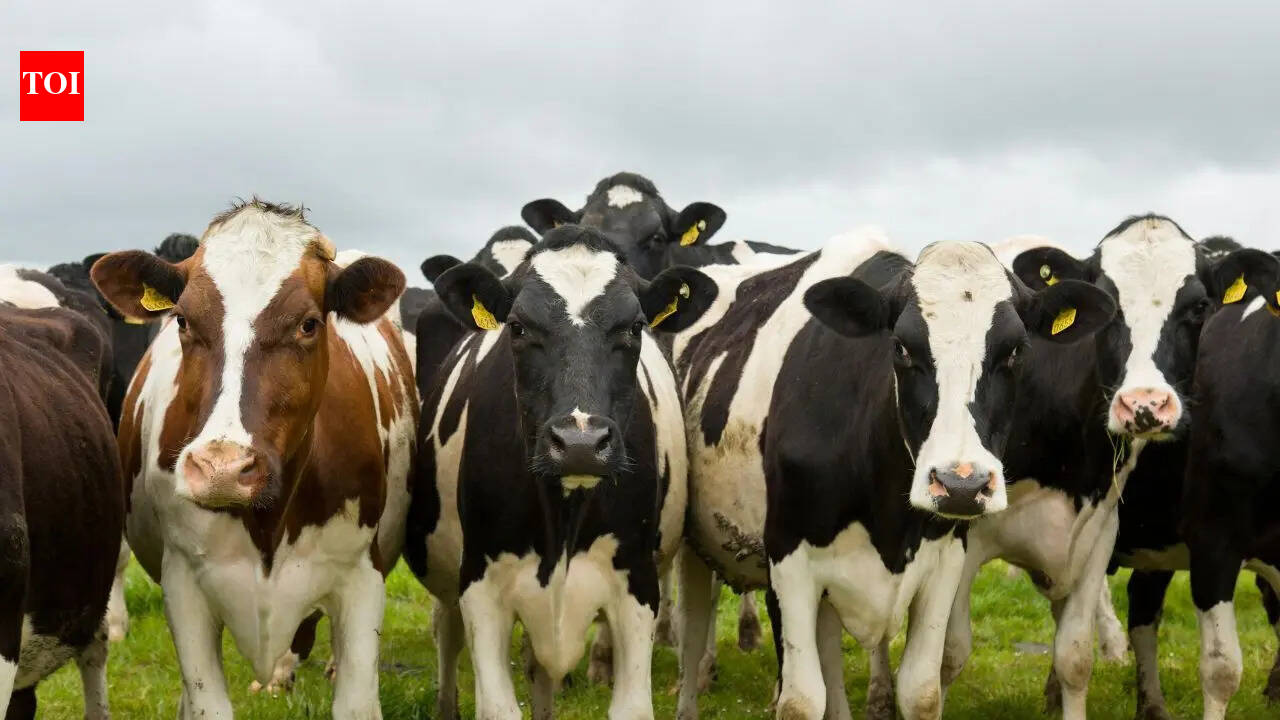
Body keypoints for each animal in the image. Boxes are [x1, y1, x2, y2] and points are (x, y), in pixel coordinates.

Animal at [89, 199, 417, 718]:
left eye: (308, 323)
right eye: (183, 320)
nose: (222, 470)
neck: (269, 521)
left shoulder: (362, 575)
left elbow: (356, 702)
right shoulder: (183, 583)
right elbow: (206, 703)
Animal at [404, 224, 715, 720]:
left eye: (635, 327)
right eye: (517, 326)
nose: (580, 444)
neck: (564, 517)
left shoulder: (637, 584)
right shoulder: (481, 585)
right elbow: (497, 706)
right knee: (447, 631)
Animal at [939, 215, 1279, 720]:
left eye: (1200, 306)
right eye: (1109, 307)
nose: (1144, 405)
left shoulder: (1100, 531)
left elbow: (1076, 652)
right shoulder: (1214, 537)